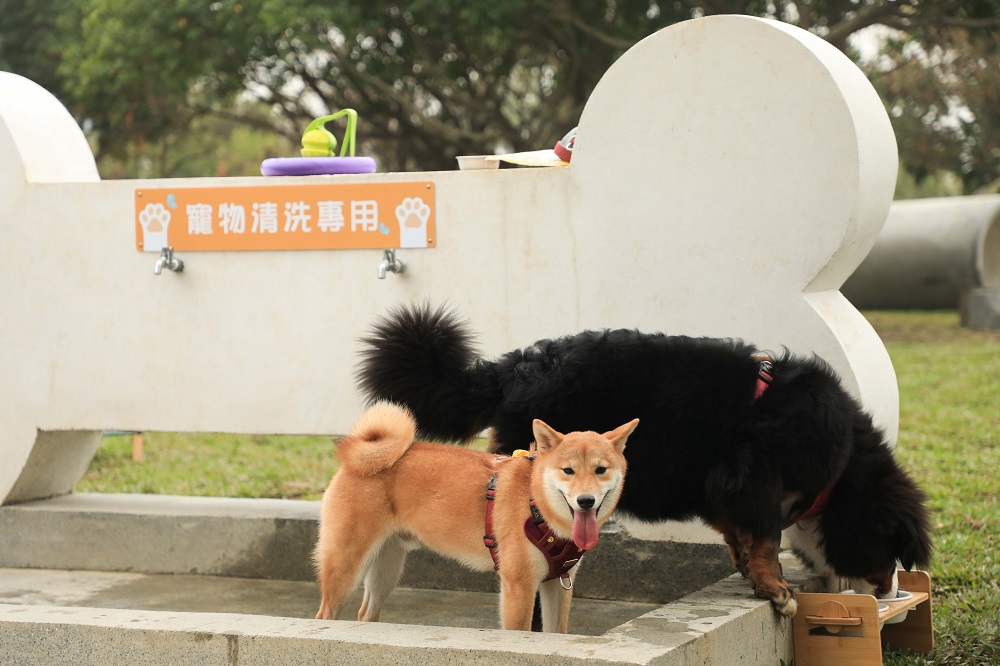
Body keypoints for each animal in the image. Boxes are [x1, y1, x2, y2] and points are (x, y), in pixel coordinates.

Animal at [316, 396, 636, 632]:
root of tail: (356, 459)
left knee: (366, 614)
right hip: (346, 567)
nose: (586, 500)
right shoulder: (519, 586)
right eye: (568, 471)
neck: (537, 505)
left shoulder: (558, 585)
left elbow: (557, 632)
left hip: (386, 568)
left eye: (600, 470)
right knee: (324, 616)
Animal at [356, 304, 932, 616]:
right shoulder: (754, 478)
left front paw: (748, 570)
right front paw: (776, 588)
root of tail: (516, 367)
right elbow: (767, 537)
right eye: (889, 549)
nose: (891, 593)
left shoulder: (723, 487)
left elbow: (739, 533)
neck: (843, 468)